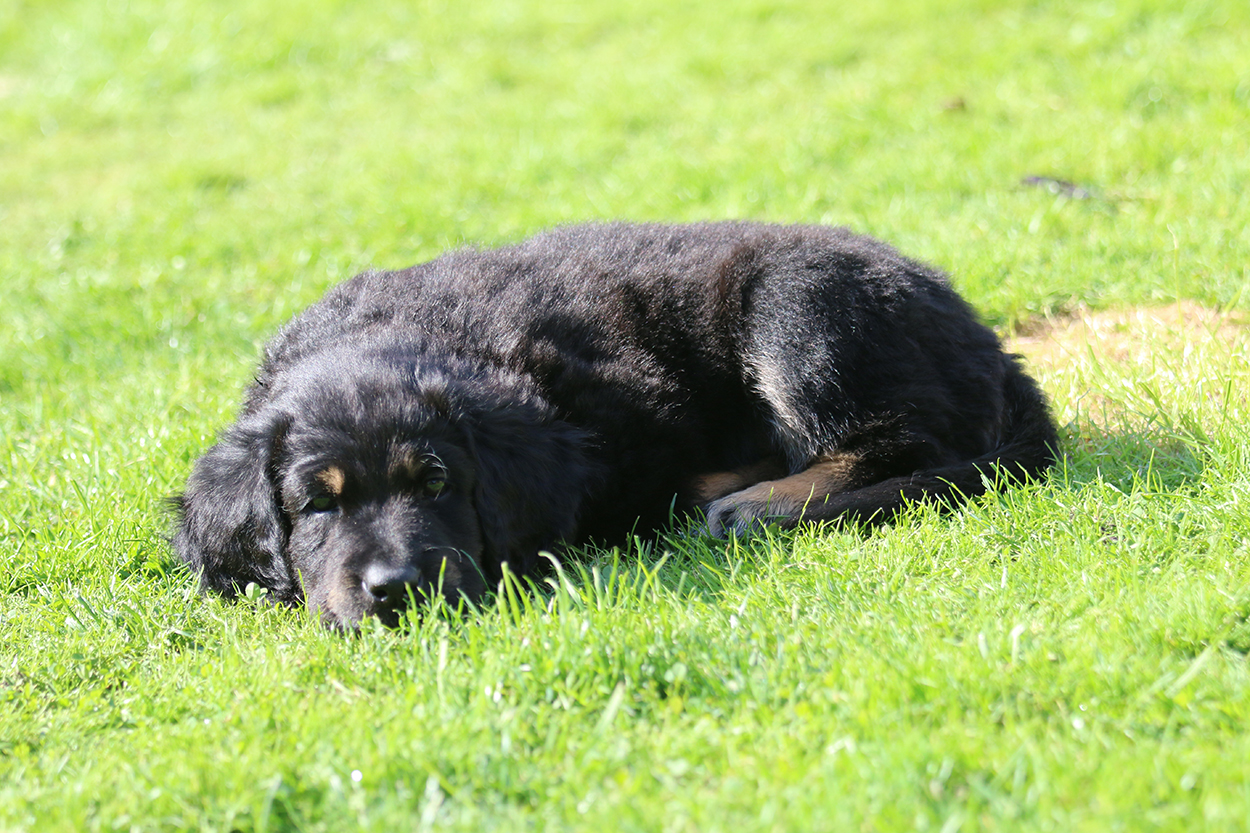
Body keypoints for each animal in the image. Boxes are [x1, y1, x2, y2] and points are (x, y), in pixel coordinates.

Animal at [173, 222, 1057, 628]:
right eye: (315, 504)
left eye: (437, 482)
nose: (396, 589)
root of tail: (989, 345)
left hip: (798, 307)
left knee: (901, 443)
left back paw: (755, 502)